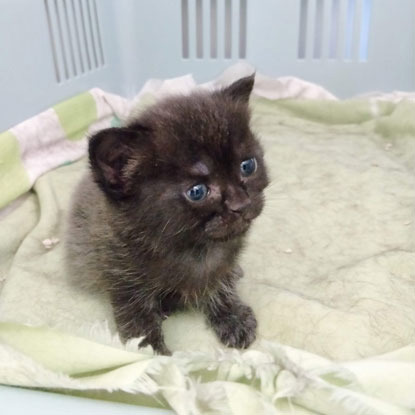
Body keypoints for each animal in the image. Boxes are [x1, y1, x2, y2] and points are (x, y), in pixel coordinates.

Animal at [66, 75, 270, 354]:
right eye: (197, 191)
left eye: (248, 166)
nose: (240, 203)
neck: (191, 249)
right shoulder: (121, 275)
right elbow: (137, 319)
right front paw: (151, 354)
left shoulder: (224, 262)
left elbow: (221, 285)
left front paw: (232, 316)